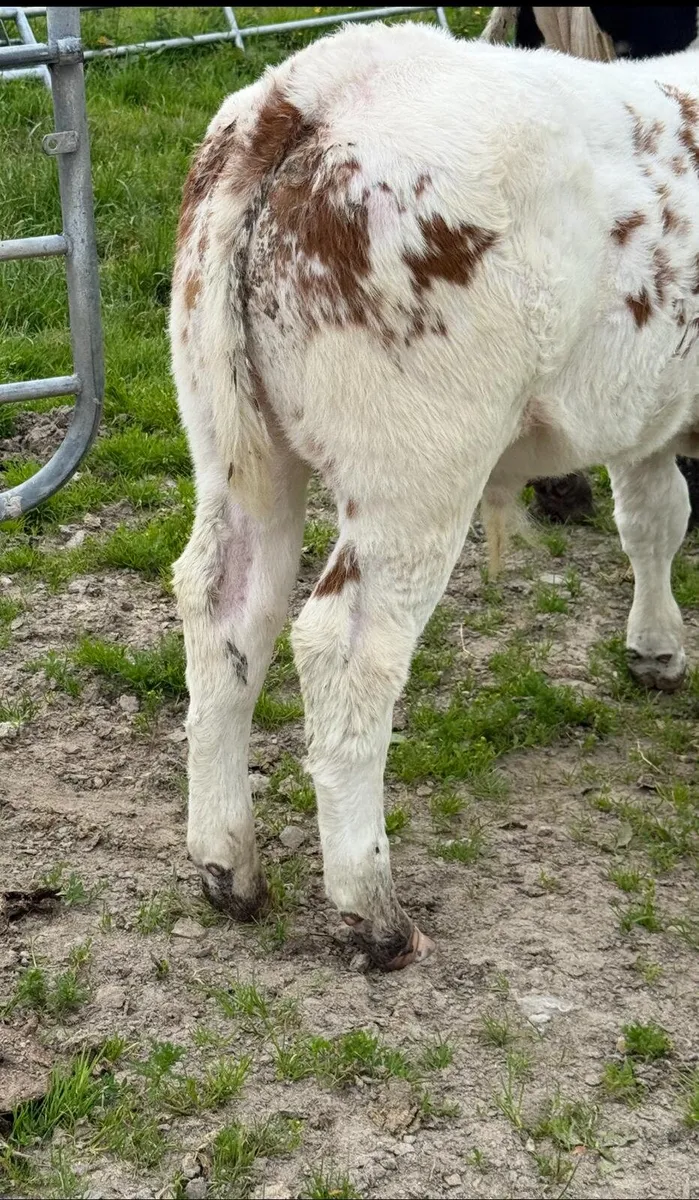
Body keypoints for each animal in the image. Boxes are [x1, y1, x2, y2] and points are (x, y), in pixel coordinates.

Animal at [170, 21, 699, 971]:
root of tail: (314, 87)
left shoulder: (643, 403)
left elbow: (651, 516)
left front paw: (653, 648)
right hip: (417, 469)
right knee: (347, 652)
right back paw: (370, 909)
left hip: (234, 444)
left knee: (226, 609)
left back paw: (227, 864)